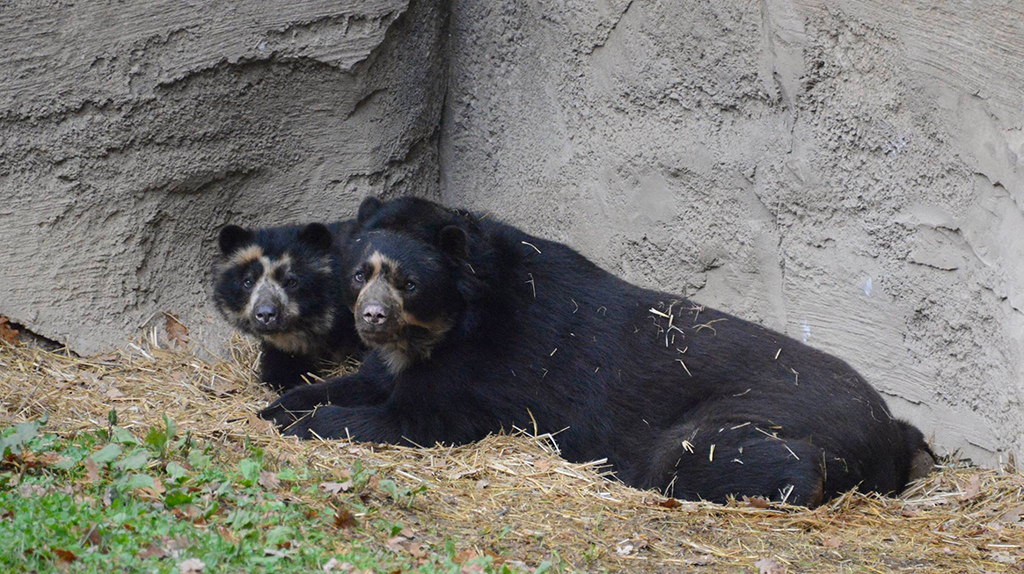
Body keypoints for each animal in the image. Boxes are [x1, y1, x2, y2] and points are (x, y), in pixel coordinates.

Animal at [260, 196, 933, 505]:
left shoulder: (490, 370)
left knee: (693, 456)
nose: (370, 318)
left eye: (408, 283)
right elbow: (367, 381)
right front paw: (277, 406)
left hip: (763, 416)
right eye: (360, 274)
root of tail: (889, 432)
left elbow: (417, 418)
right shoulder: (401, 357)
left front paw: (312, 423)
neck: (444, 327)